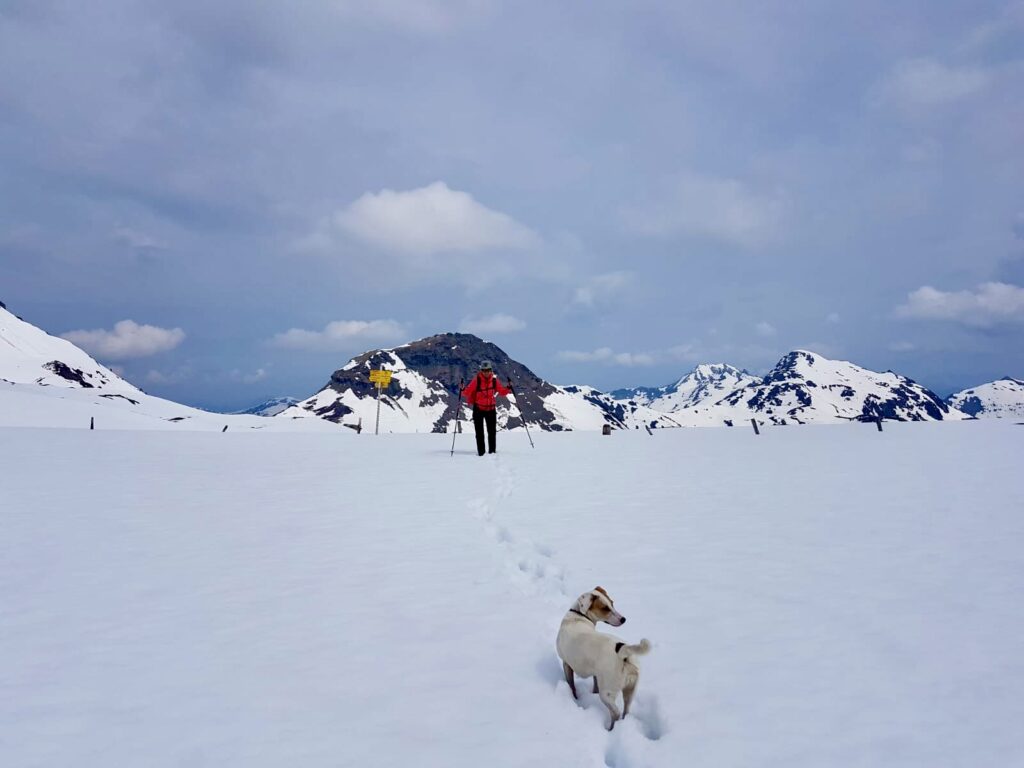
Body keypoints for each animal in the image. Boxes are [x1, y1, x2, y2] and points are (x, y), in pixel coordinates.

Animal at [557, 585, 651, 729]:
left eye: (612, 603)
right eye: (606, 608)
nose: (623, 619)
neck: (578, 617)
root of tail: (623, 651)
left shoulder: (566, 663)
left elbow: (571, 685)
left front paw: (574, 697)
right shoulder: (596, 674)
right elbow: (594, 685)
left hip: (607, 693)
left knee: (615, 713)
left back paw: (611, 728)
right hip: (631, 690)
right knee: (626, 709)